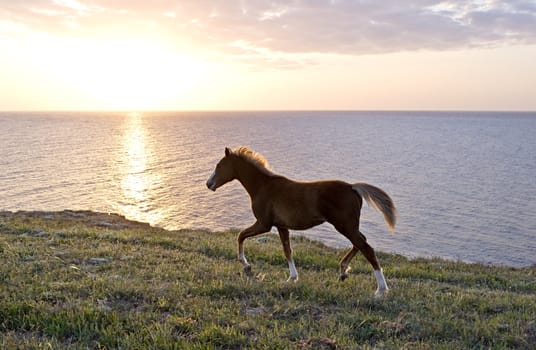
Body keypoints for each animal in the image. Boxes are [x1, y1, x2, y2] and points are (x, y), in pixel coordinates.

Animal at [207, 146, 396, 296]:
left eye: (219, 166)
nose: (208, 184)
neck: (263, 187)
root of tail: (353, 187)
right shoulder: (281, 226)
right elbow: (287, 250)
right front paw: (292, 278)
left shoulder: (264, 224)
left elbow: (241, 235)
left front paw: (246, 265)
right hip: (349, 226)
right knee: (361, 242)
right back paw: (343, 271)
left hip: (345, 225)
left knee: (366, 248)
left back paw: (381, 290)